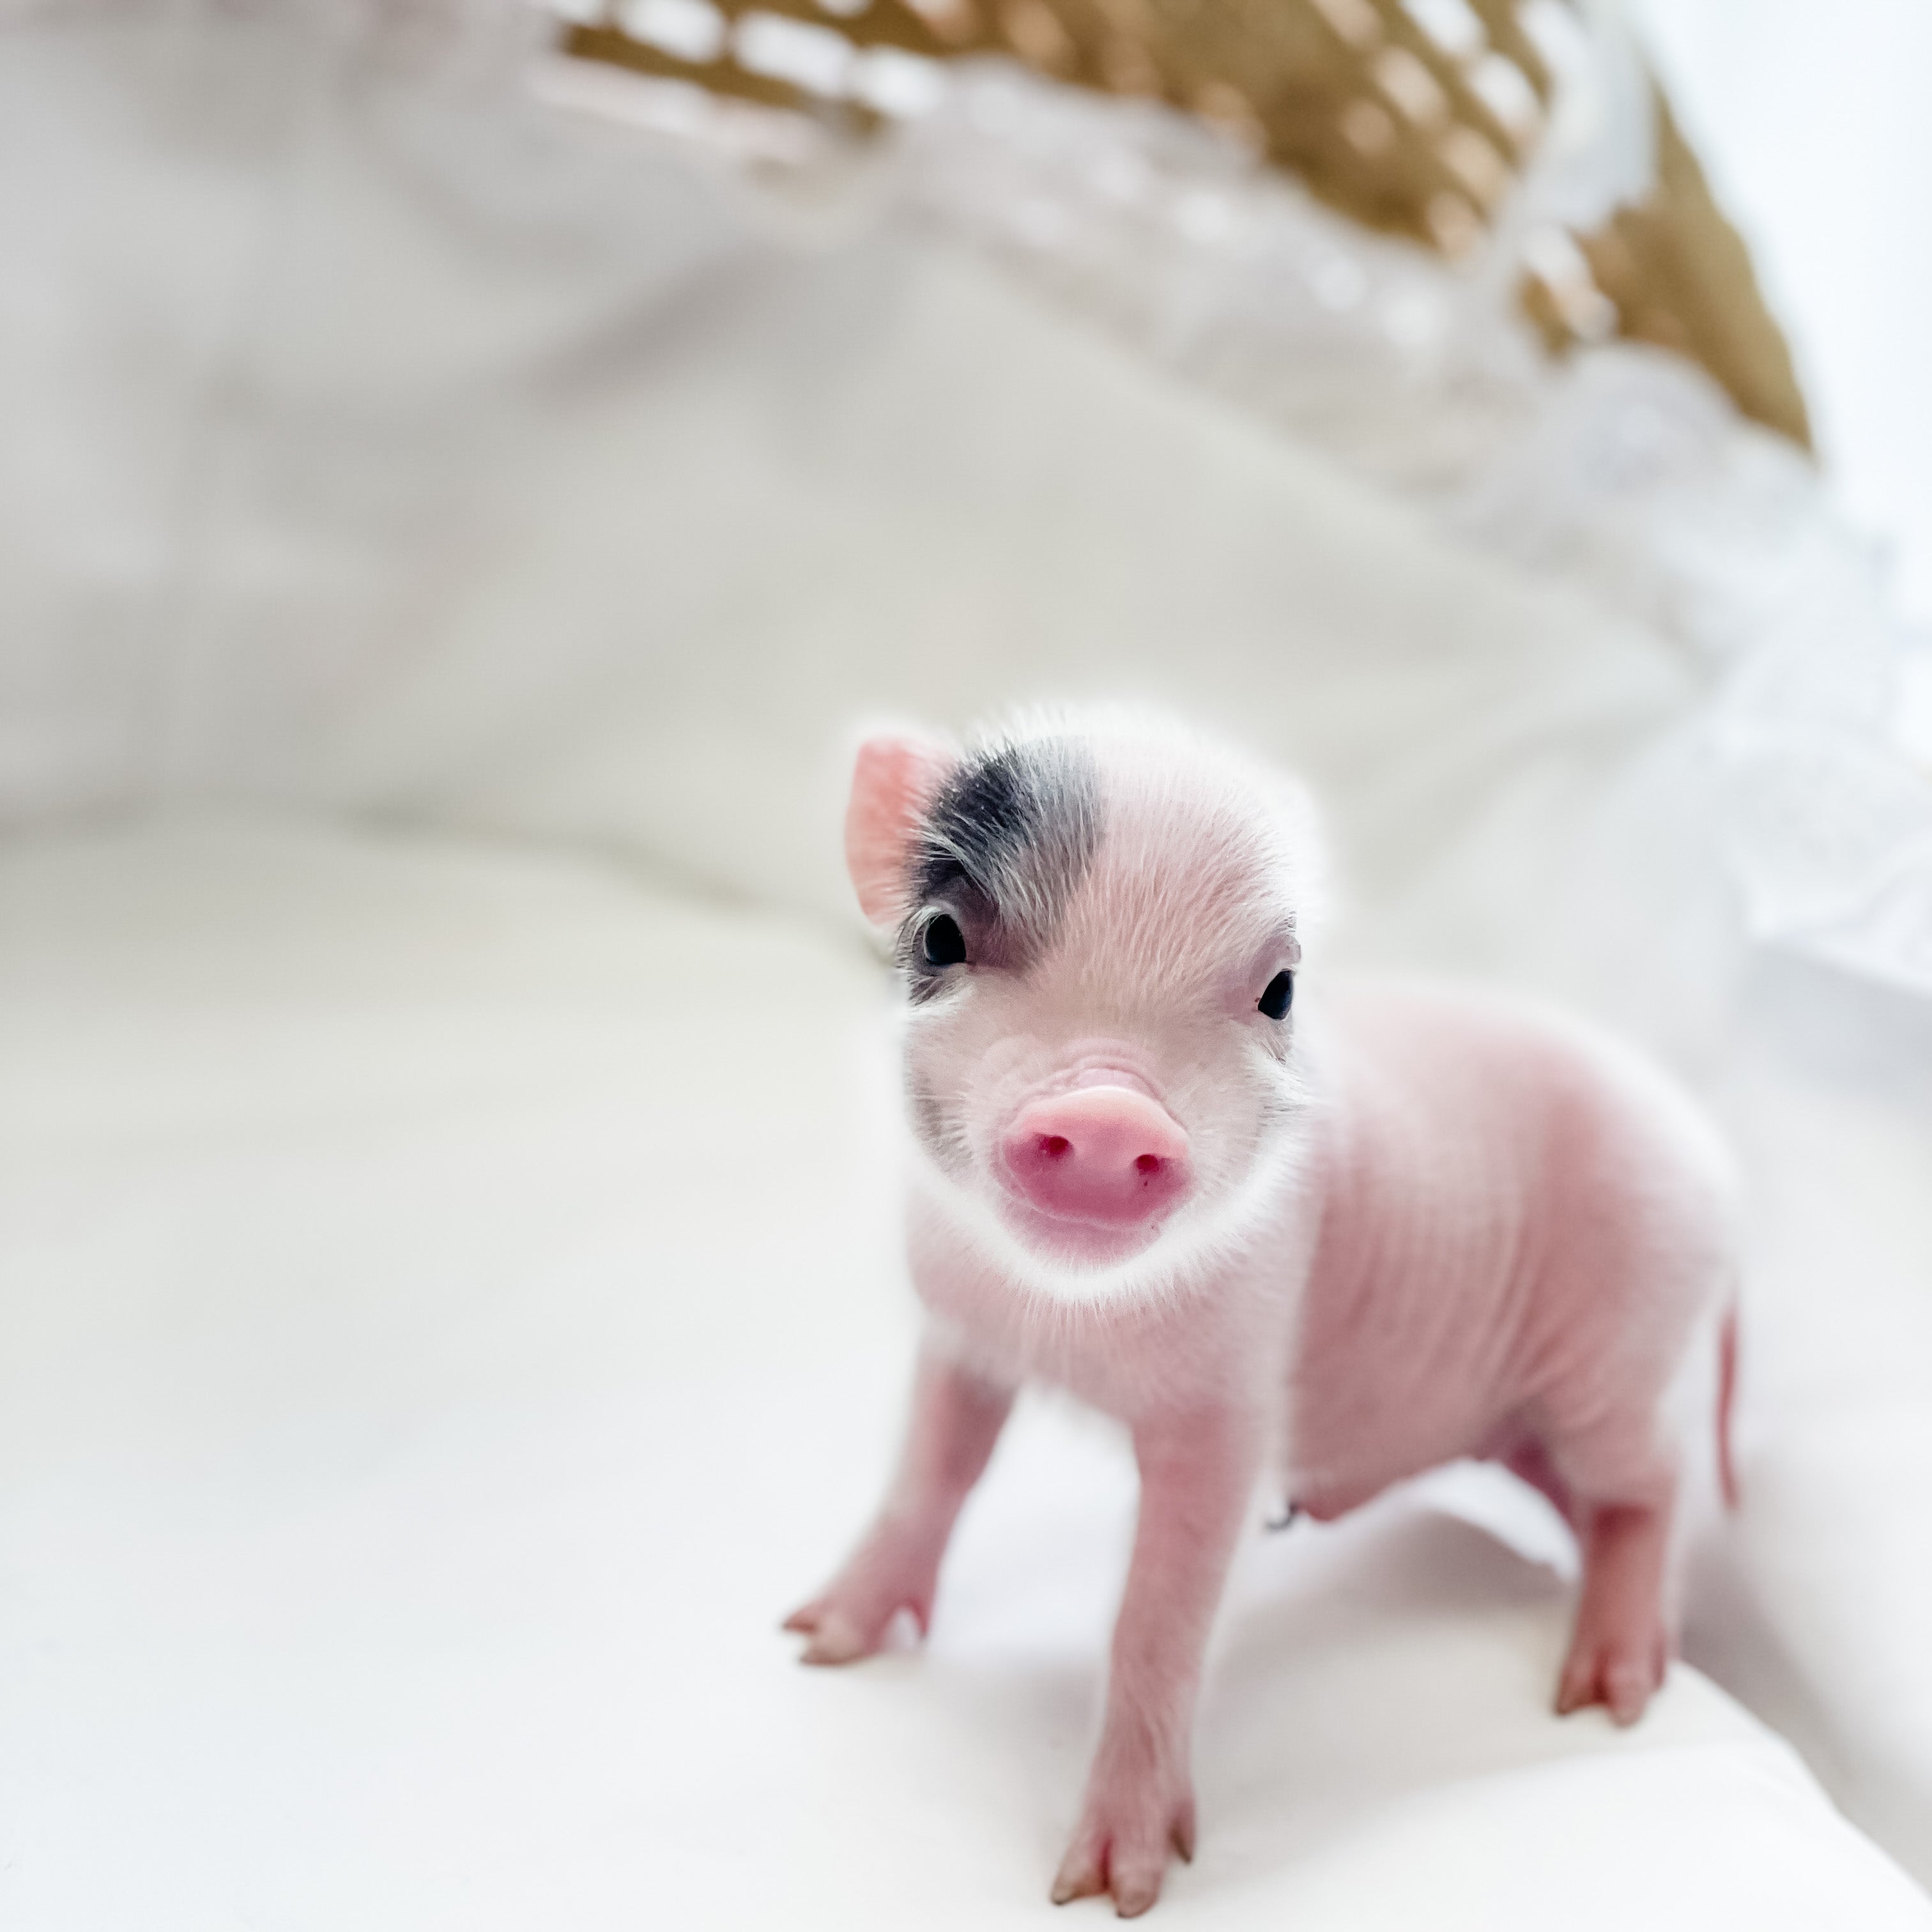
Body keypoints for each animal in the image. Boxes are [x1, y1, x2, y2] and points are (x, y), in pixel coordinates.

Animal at [785, 712, 1739, 1917]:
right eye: (942, 934)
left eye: (1278, 991)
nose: (1109, 1112)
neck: (1069, 1324)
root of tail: (1716, 1168)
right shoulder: (961, 1333)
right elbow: (928, 1474)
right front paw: (814, 1641)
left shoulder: (1231, 1403)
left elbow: (1160, 1608)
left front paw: (1109, 1889)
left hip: (1619, 1344)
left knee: (1651, 1486)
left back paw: (1604, 1690)